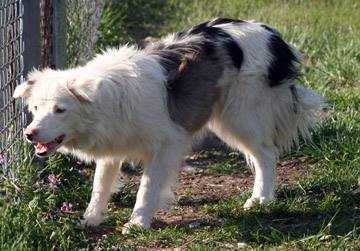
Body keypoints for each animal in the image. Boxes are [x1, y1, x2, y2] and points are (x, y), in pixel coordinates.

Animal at [13, 18, 324, 233]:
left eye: (60, 109)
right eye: (36, 109)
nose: (29, 134)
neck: (112, 98)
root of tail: (270, 34)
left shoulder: (167, 144)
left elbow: (147, 187)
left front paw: (138, 223)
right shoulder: (113, 147)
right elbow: (100, 186)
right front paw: (91, 218)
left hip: (240, 117)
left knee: (266, 155)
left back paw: (261, 199)